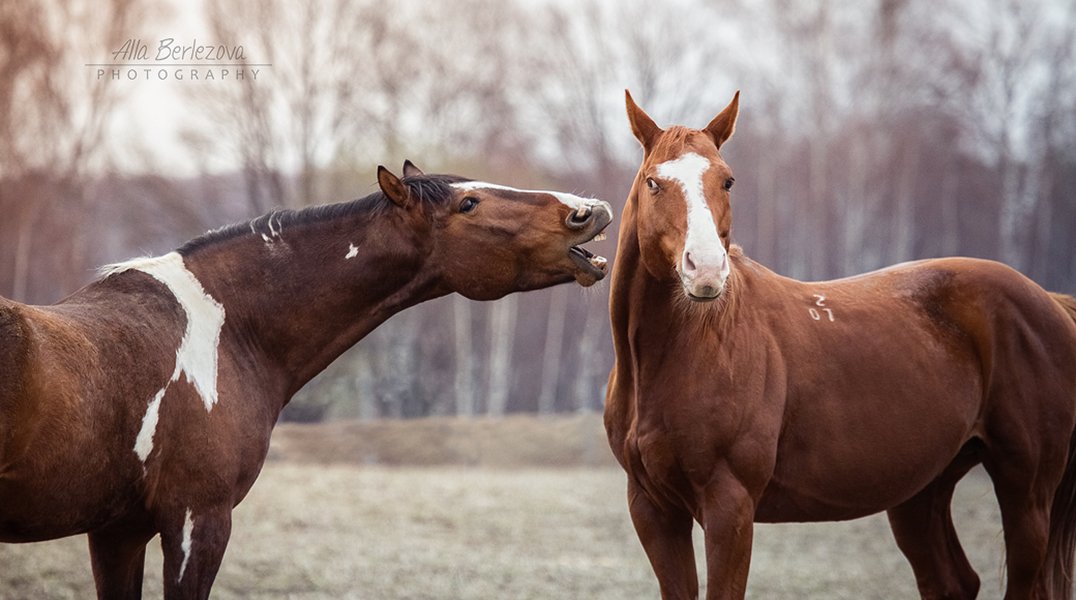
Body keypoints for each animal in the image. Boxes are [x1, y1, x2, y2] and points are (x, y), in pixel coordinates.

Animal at [611, 90, 1076, 600]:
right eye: (654, 182)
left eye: (727, 180)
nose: (707, 271)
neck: (682, 352)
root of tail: (1050, 301)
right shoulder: (653, 510)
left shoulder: (729, 505)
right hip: (922, 492)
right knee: (954, 581)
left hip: (1026, 493)